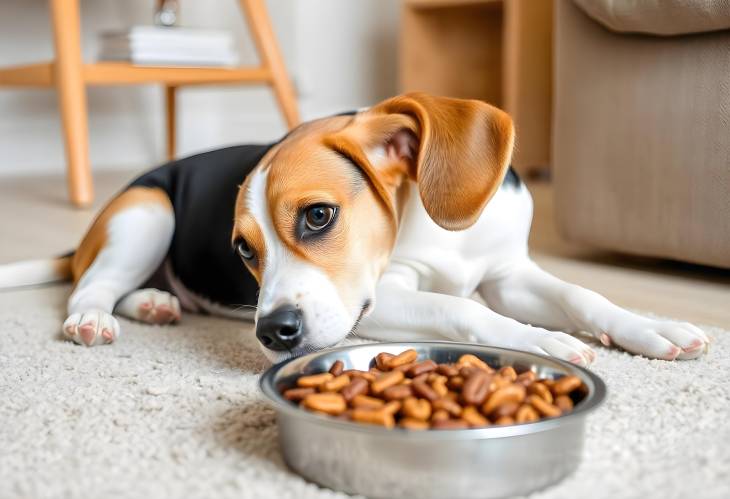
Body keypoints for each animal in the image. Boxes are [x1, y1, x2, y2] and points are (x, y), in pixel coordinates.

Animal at [0, 93, 704, 368]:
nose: (272, 333)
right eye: (243, 250)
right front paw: (541, 342)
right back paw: (98, 316)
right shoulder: (381, 297)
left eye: (318, 215)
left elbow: (583, 295)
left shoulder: (511, 274)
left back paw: (153, 301)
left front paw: (653, 328)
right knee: (87, 287)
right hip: (149, 211)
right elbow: (460, 309)